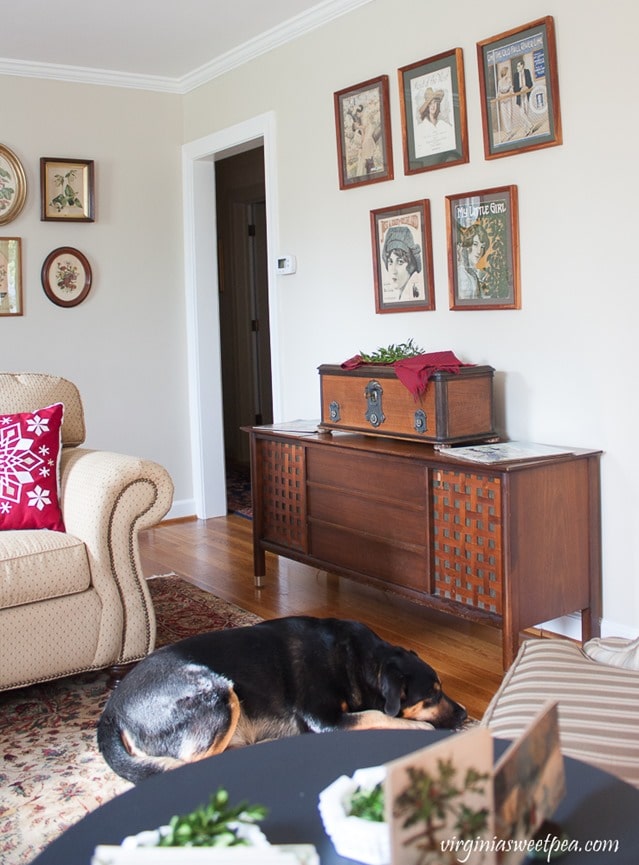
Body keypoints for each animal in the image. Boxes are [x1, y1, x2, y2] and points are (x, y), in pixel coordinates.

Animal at [96, 616, 464, 784]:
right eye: (432, 694)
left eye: (442, 688)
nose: (463, 715)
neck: (363, 662)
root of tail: (110, 713)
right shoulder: (324, 719)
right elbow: (380, 716)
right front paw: (421, 730)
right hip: (219, 694)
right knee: (193, 762)